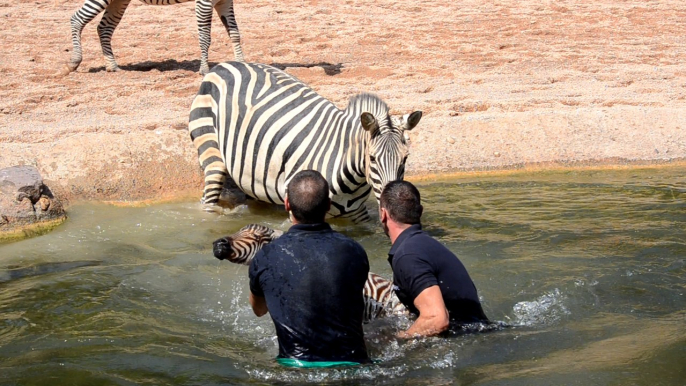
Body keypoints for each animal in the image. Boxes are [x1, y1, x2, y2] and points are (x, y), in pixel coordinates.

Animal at [64, 0, 242, 74]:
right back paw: (74, 62)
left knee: (104, 28)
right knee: (77, 19)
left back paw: (112, 66)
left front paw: (241, 63)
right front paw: (204, 70)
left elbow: (234, 33)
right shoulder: (205, 2)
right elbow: (205, 37)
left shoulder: (224, 1)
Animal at [189, 61, 424, 222]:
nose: (393, 205)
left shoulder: (358, 213)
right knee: (208, 197)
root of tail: (224, 65)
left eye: (405, 159)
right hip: (210, 148)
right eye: (373, 159)